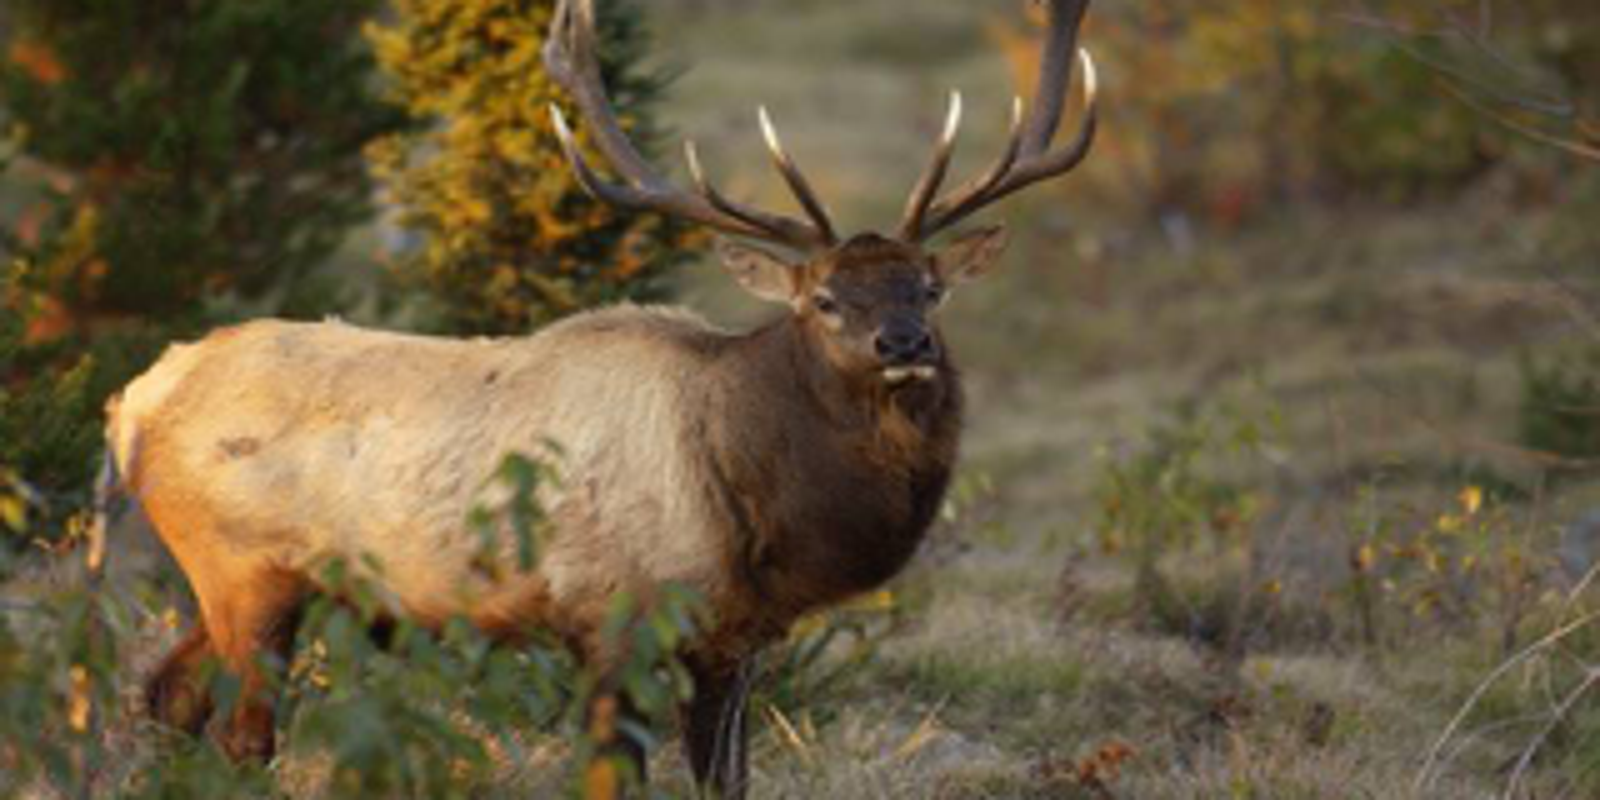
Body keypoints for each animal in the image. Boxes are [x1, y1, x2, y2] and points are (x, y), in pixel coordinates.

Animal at [99, 0, 1098, 795]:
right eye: (823, 299)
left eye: (931, 288)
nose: (904, 344)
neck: (748, 499)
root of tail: (134, 403)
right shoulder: (615, 619)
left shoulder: (735, 643)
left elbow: (725, 784)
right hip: (241, 567)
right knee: (240, 737)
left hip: (255, 584)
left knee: (167, 695)